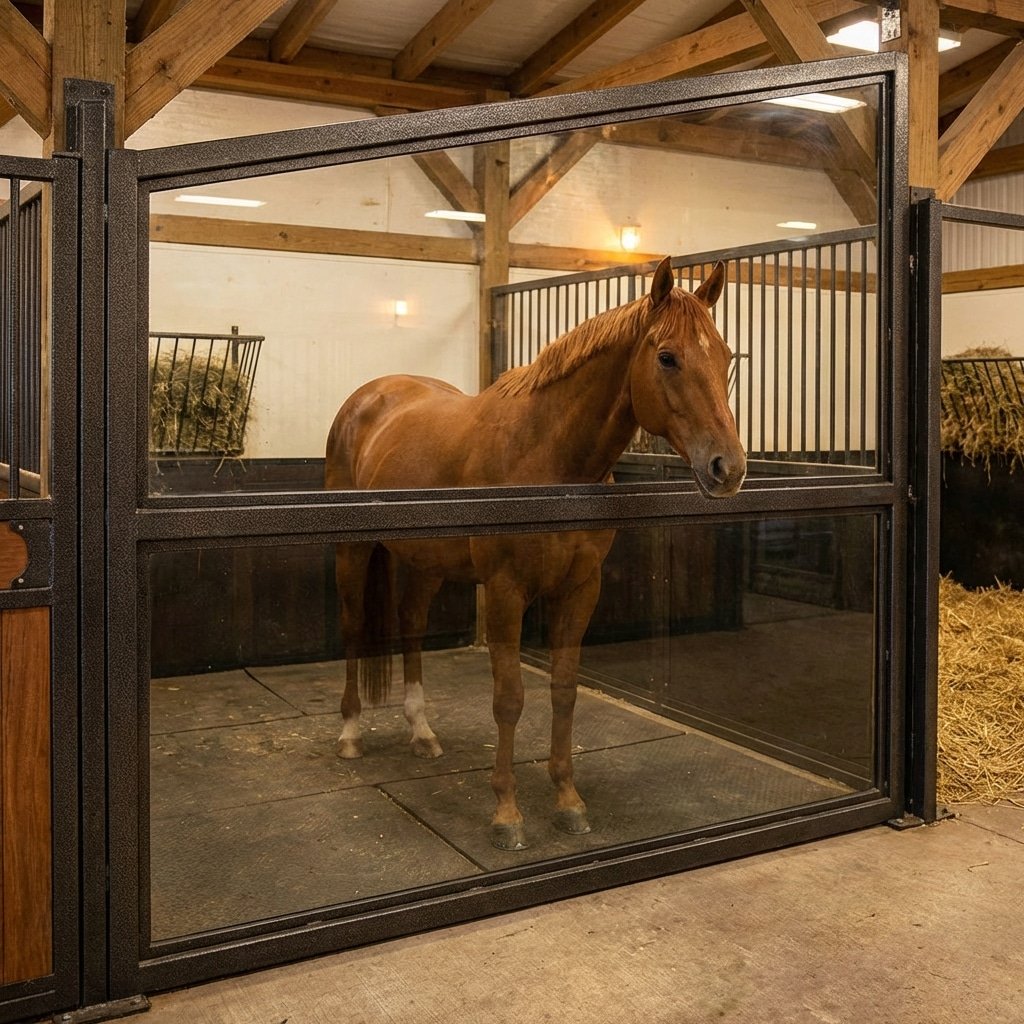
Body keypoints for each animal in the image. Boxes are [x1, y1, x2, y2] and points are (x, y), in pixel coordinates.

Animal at [325, 257, 746, 850]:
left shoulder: (581, 588)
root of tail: (368, 398)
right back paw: (350, 733)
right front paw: (507, 813)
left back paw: (422, 732)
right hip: (353, 551)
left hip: (425, 563)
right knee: (354, 626)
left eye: (726, 355)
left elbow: (564, 692)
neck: (546, 454)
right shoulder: (506, 591)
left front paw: (568, 801)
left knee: (410, 625)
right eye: (667, 357)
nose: (728, 468)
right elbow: (509, 699)